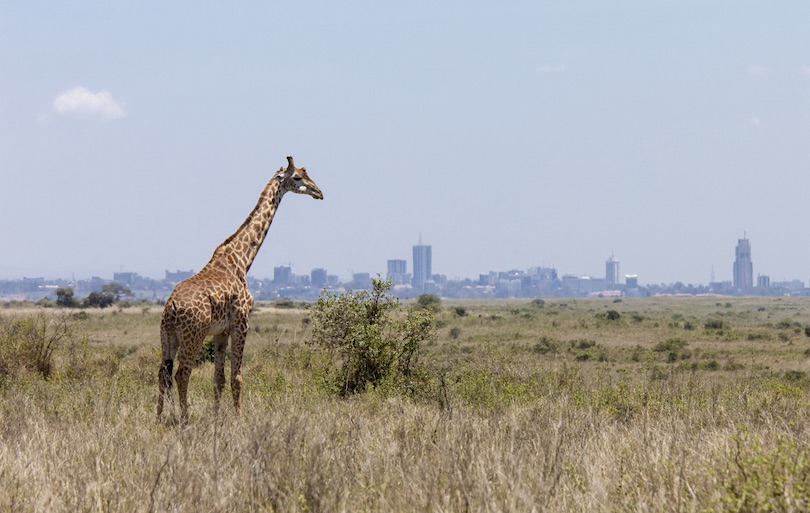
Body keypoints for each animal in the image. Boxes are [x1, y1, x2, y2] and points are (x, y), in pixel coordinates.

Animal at [158, 155, 322, 420]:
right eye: (297, 177)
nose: (319, 192)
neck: (243, 259)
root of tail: (171, 307)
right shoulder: (241, 322)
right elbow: (237, 377)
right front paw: (238, 417)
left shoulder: (221, 331)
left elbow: (219, 379)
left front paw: (217, 418)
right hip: (193, 335)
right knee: (182, 374)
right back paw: (184, 419)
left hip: (167, 335)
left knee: (162, 374)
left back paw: (159, 417)